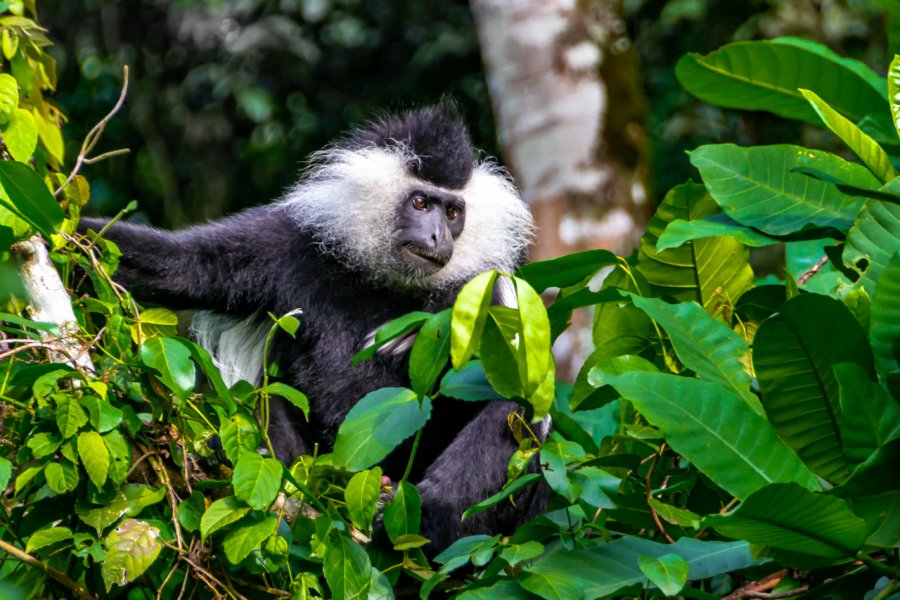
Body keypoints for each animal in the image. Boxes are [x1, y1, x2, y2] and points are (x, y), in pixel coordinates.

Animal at [79, 102, 540, 548]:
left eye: (453, 211)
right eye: (422, 204)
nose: (437, 237)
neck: (386, 283)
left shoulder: (483, 285)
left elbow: (514, 377)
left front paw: (426, 329)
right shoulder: (284, 242)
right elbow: (180, 266)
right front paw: (69, 230)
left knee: (513, 410)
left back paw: (424, 521)